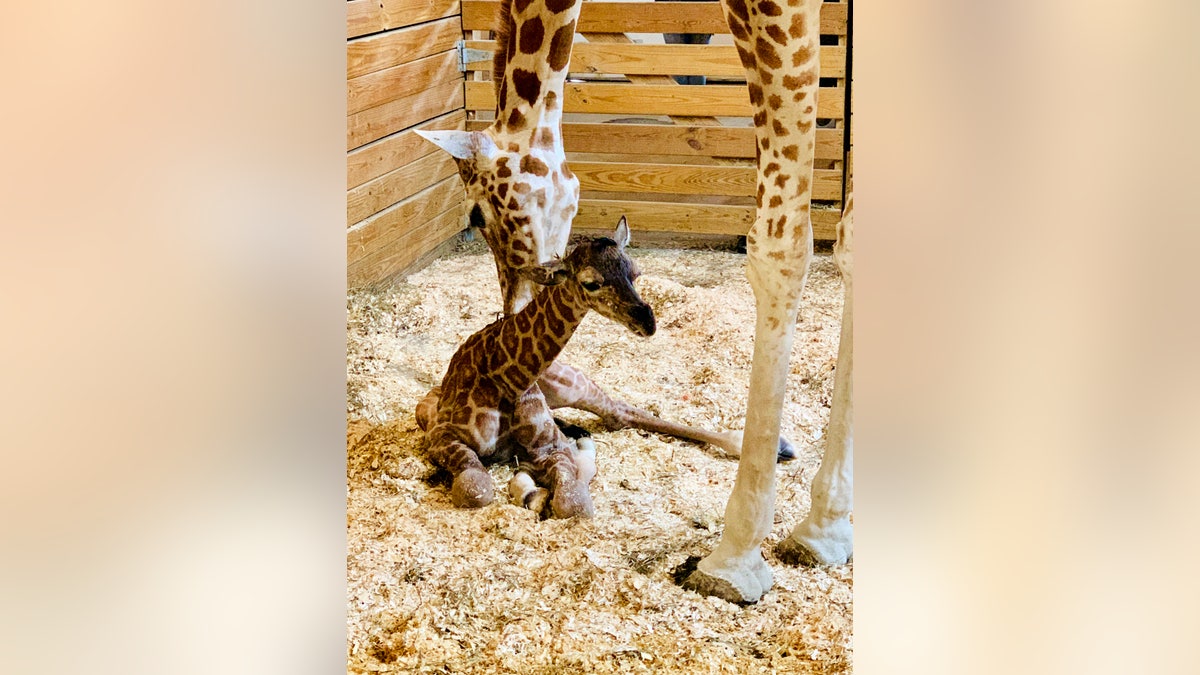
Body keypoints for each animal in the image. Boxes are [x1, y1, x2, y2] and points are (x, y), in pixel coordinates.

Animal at [417, 218, 652, 516]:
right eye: (590, 283)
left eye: (636, 272)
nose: (648, 322)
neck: (508, 377)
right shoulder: (440, 435)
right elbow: (475, 489)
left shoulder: (550, 448)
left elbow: (572, 503)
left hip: (575, 387)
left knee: (619, 412)